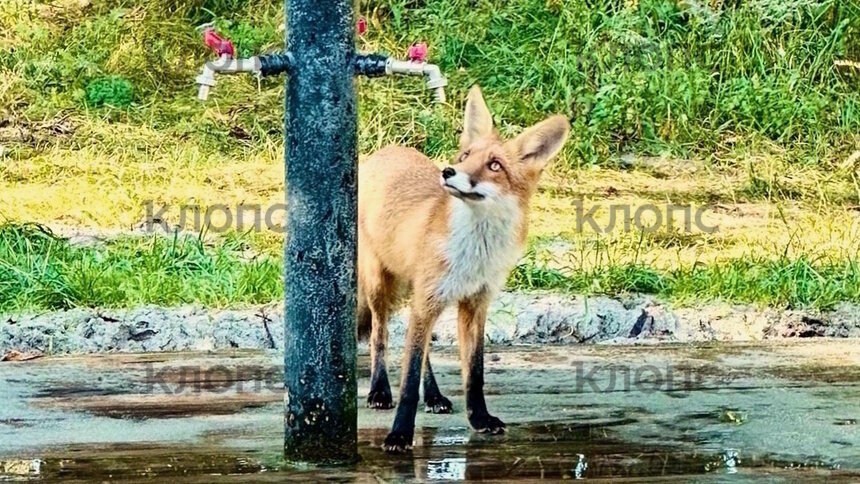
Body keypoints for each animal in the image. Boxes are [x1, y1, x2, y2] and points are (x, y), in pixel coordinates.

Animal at [358, 85, 572, 452]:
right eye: (465, 155)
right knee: (379, 337)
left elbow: (474, 372)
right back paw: (379, 390)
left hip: (420, 296)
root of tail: (387, 150)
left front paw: (480, 419)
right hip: (380, 285)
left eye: (494, 165)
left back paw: (433, 396)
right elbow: (408, 378)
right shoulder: (430, 298)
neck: (475, 251)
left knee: (424, 351)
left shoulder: (475, 303)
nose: (447, 172)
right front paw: (399, 434)